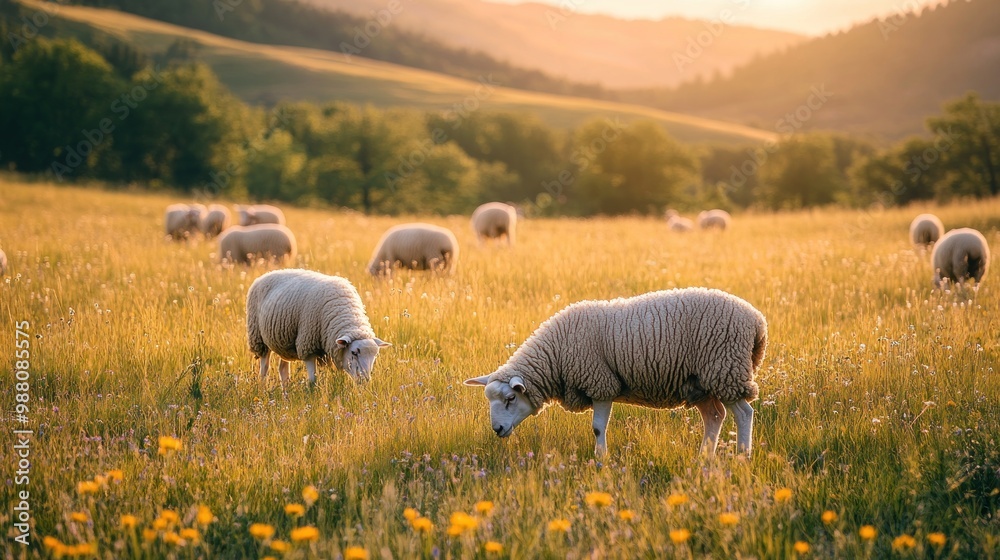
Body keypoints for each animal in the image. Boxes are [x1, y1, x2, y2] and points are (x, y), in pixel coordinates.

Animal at [246, 269, 391, 385]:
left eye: (375, 355)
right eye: (354, 352)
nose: (365, 380)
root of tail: (266, 274)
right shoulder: (307, 345)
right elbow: (312, 380)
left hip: (283, 343)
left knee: (283, 369)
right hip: (258, 338)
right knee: (264, 368)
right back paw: (263, 387)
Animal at [465, 287, 767, 457]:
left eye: (510, 399)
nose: (497, 429)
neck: (556, 354)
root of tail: (757, 321)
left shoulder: (600, 383)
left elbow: (598, 428)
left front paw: (601, 460)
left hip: (725, 370)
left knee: (744, 413)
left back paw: (742, 456)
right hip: (700, 383)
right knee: (715, 417)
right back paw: (704, 458)